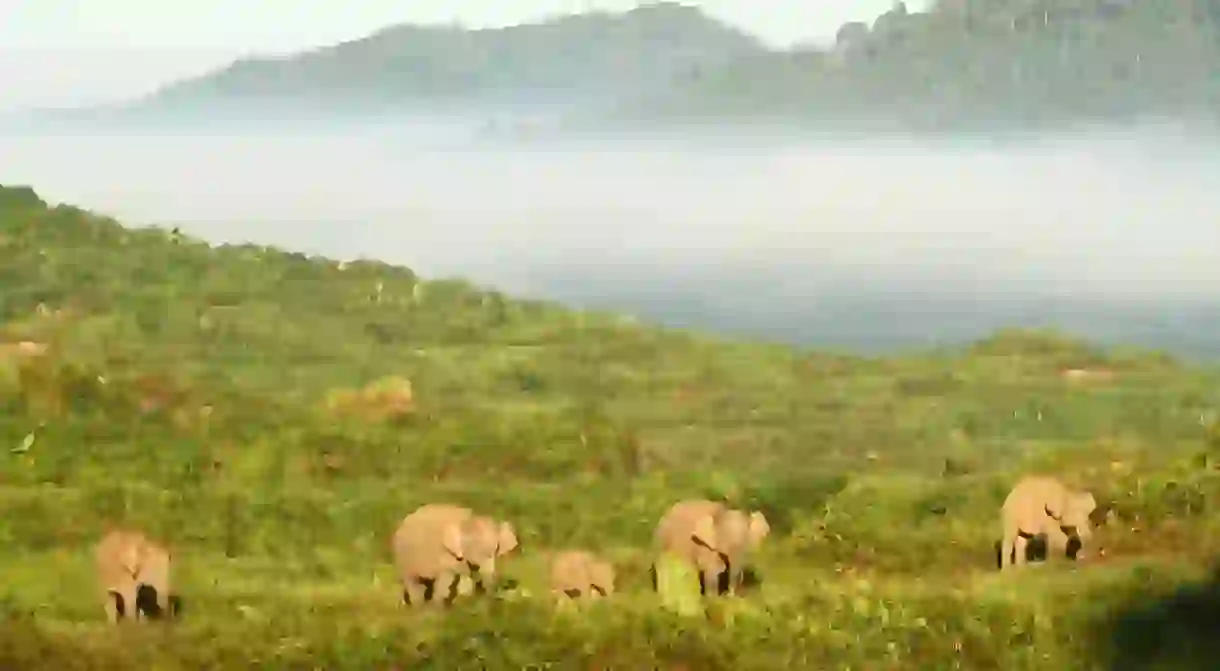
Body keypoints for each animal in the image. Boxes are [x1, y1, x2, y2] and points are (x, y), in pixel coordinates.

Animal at [390, 505, 519, 610]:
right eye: (471, 545)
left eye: (496, 548)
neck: (469, 519)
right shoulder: (445, 553)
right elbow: (447, 578)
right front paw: (439, 610)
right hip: (404, 556)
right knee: (413, 582)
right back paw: (419, 608)